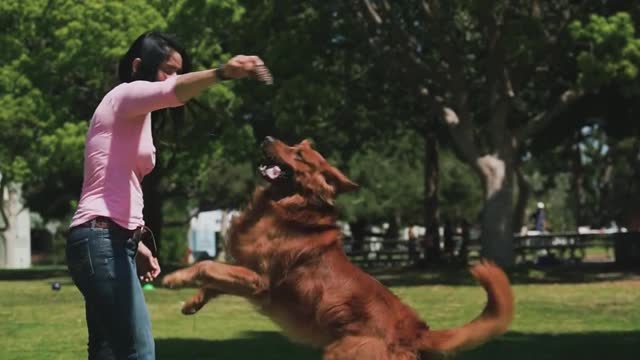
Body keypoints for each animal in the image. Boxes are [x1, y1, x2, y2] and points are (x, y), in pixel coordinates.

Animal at [162, 136, 512, 358]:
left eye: (299, 155)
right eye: (294, 145)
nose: (266, 136)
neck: (284, 205)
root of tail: (414, 330)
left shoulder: (259, 280)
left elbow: (207, 265)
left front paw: (175, 278)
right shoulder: (246, 273)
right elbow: (214, 279)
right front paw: (192, 303)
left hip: (342, 353)